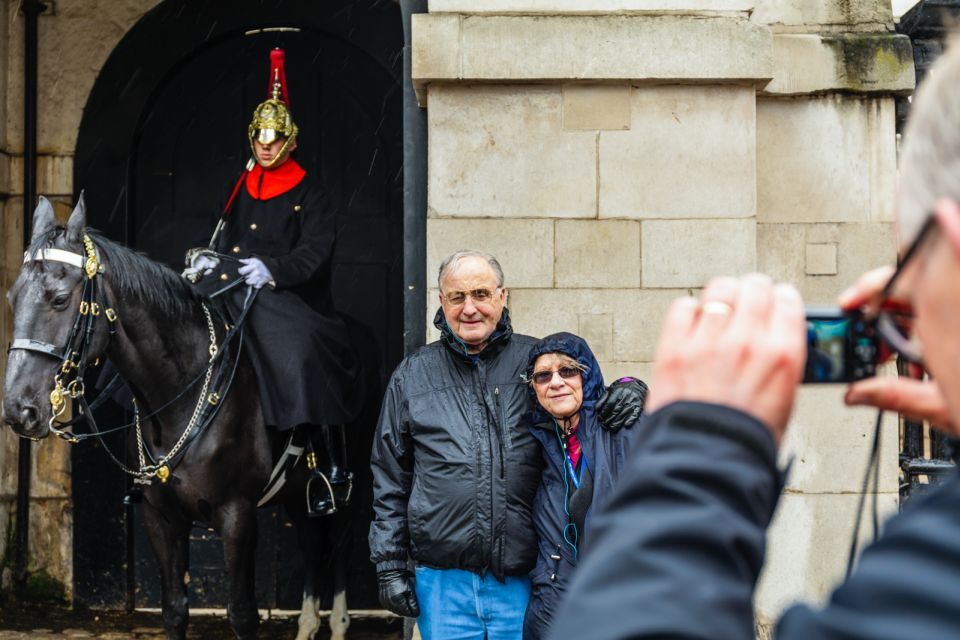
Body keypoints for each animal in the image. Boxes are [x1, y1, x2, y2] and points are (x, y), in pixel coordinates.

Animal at [2, 196, 356, 640]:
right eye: (13, 297)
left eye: (61, 298)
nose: (18, 409)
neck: (179, 398)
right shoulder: (161, 517)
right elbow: (174, 609)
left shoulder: (238, 516)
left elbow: (243, 613)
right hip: (295, 492)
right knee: (313, 545)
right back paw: (308, 624)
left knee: (339, 546)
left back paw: (339, 622)